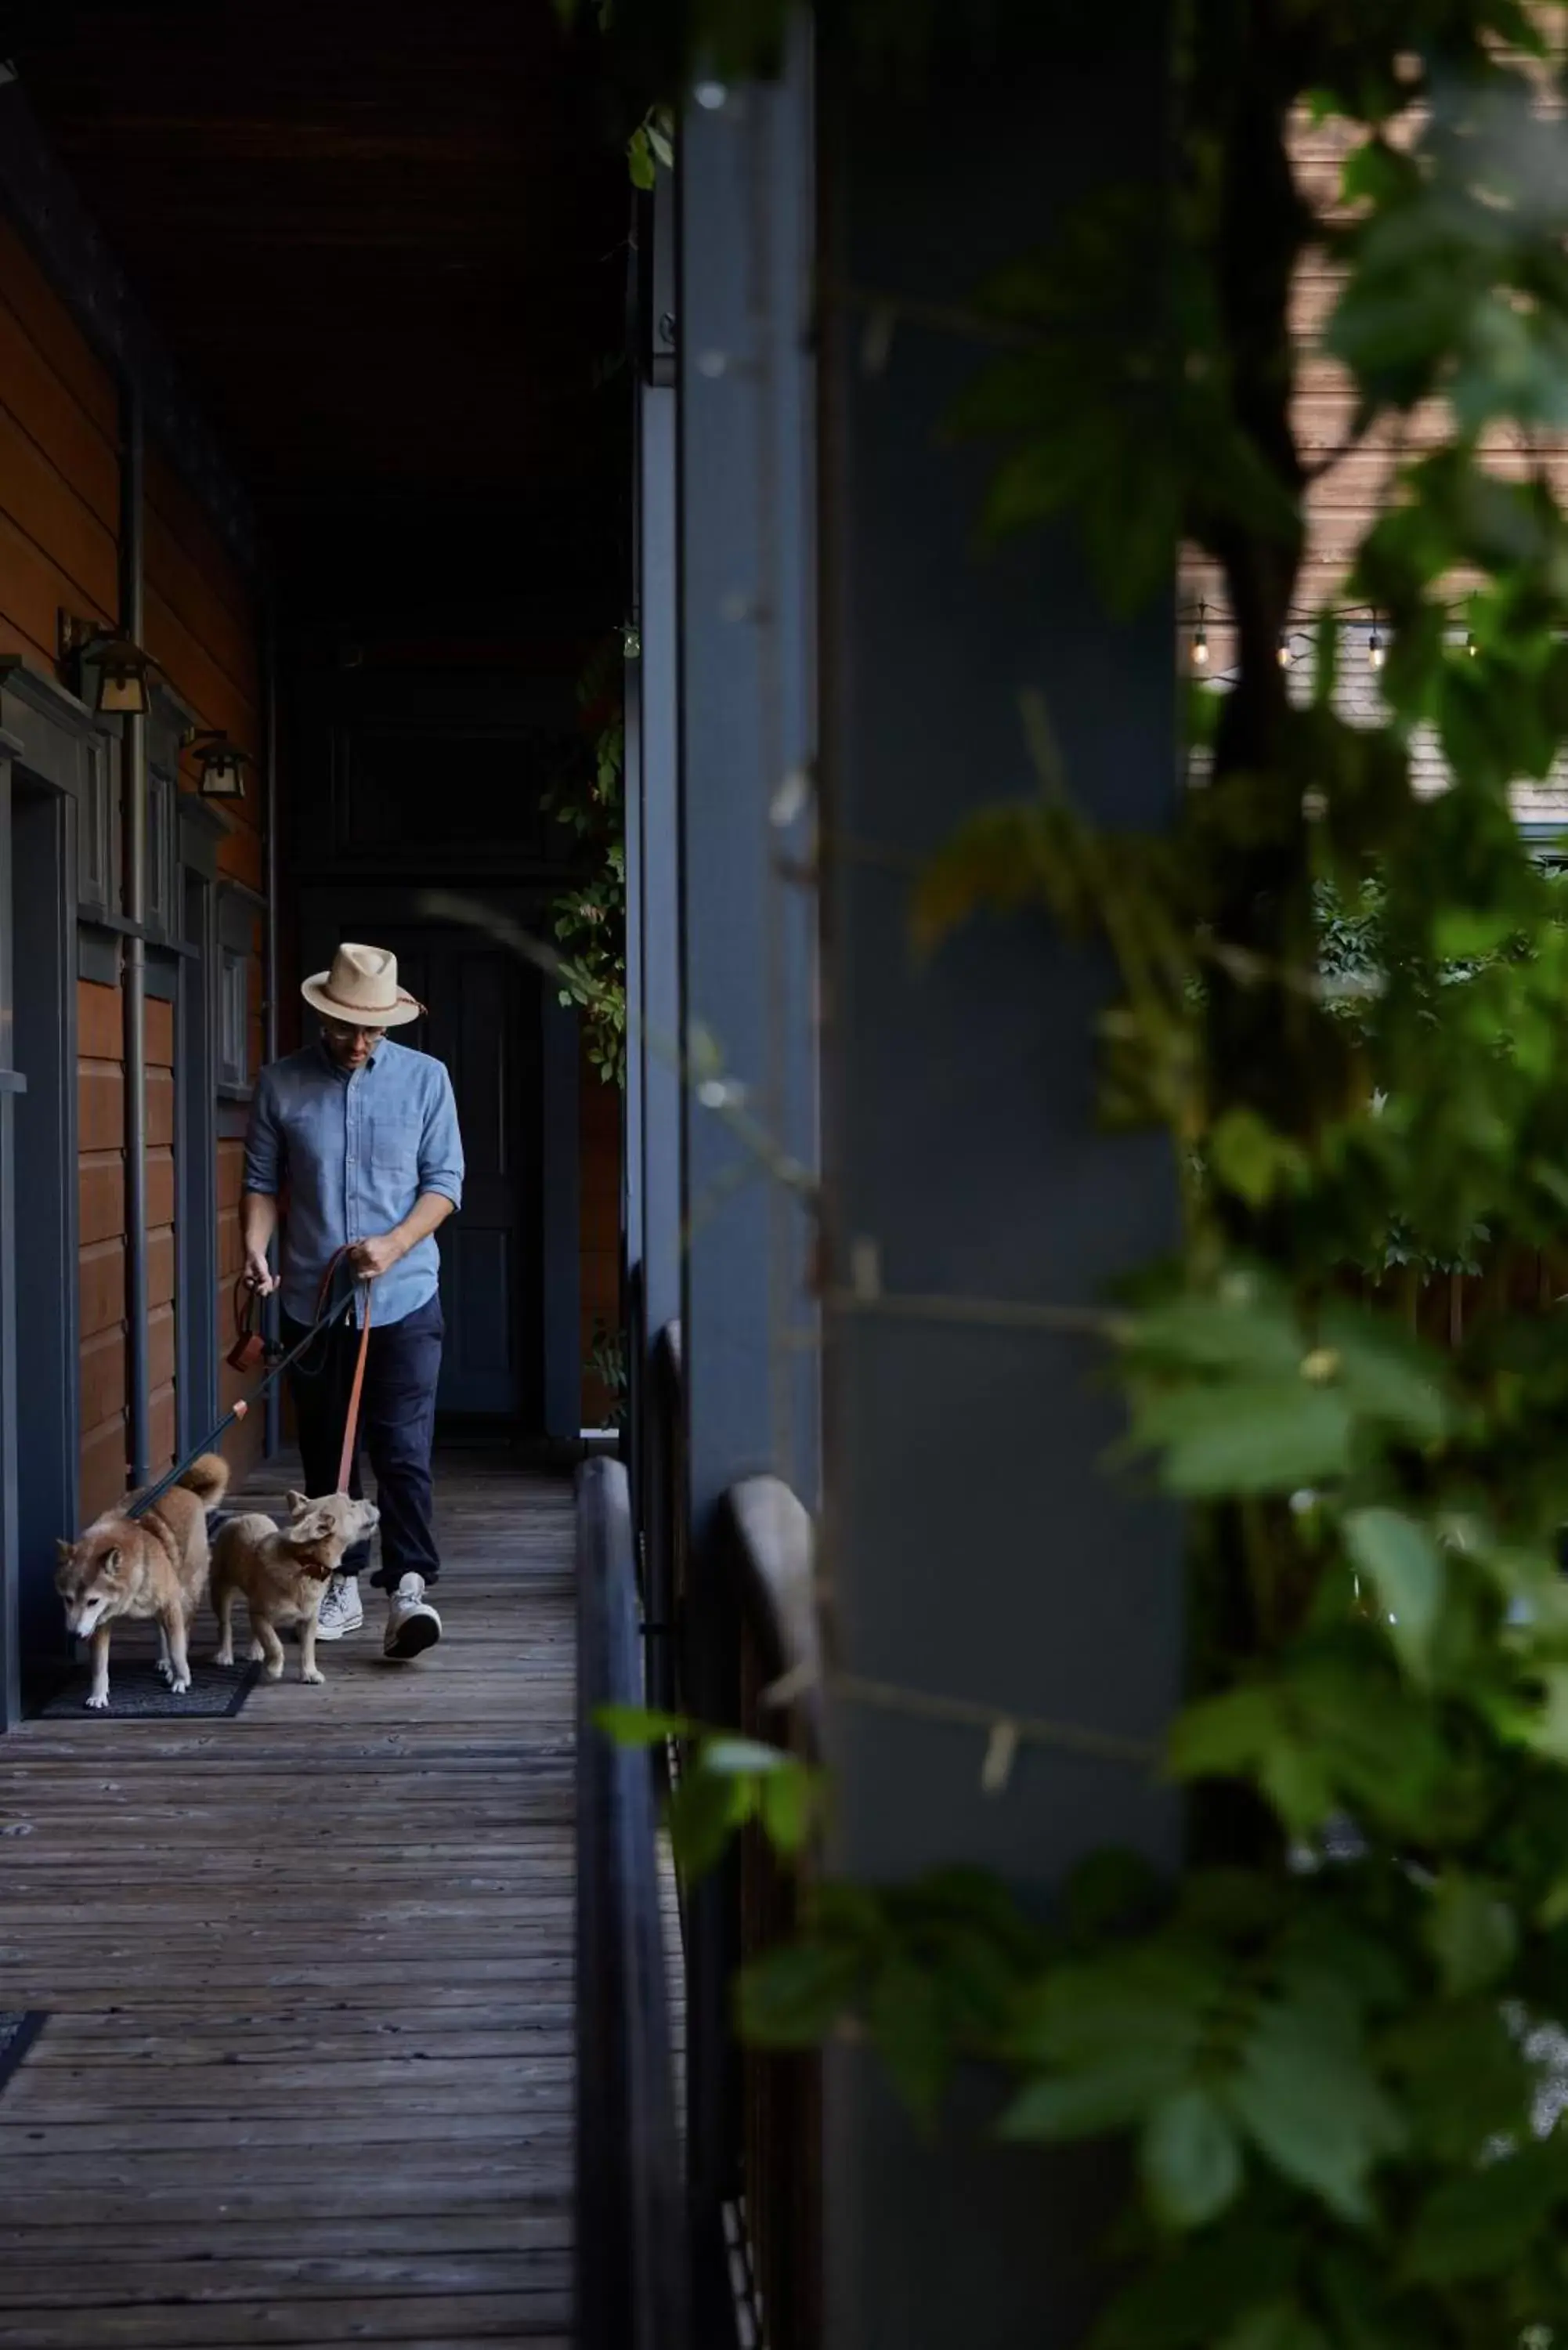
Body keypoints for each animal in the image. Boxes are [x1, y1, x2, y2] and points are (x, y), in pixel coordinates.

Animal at [55, 1448, 231, 1711]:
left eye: (92, 1601)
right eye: (67, 1600)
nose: (75, 1634)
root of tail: (186, 1489)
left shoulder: (170, 1604)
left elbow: (178, 1647)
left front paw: (182, 1678)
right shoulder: (100, 1622)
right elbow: (99, 1665)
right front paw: (98, 1695)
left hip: (188, 1592)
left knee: (183, 1630)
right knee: (162, 1630)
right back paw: (164, 1661)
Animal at [211, 1485, 381, 1692]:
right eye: (352, 1507)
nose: (373, 1501)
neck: (304, 1564)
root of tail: (241, 1518)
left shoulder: (308, 1619)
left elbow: (307, 1649)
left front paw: (309, 1672)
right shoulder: (260, 1614)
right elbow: (274, 1643)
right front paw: (275, 1667)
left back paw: (256, 1650)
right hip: (220, 1590)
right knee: (225, 1625)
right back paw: (225, 1654)